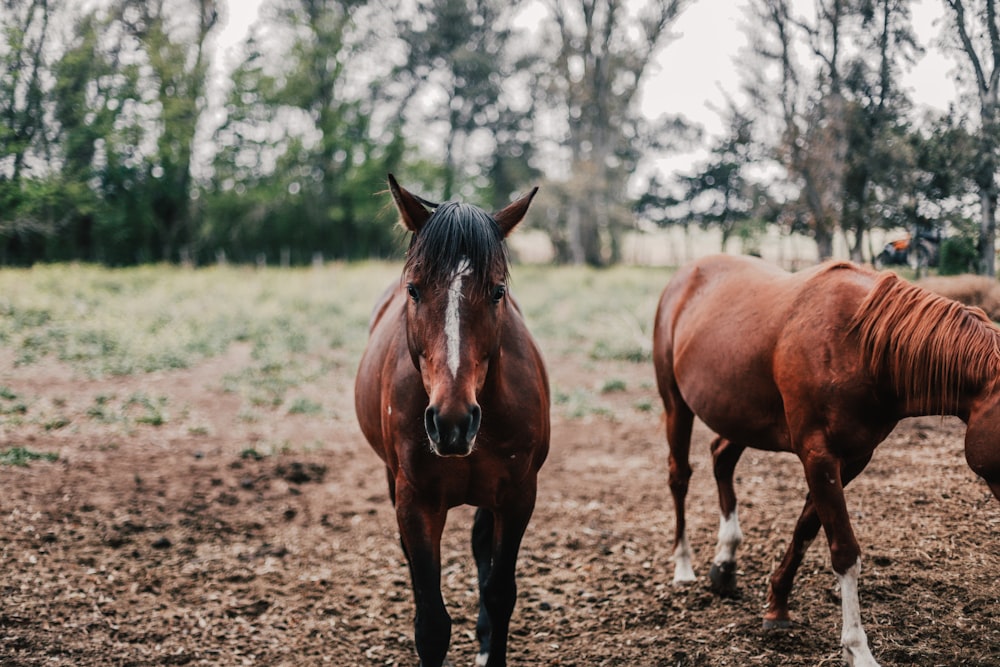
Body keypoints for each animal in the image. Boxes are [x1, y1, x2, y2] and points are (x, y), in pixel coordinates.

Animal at [356, 176, 552, 667]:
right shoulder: (416, 501)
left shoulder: (518, 496)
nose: (452, 422)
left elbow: (500, 593)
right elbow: (431, 623)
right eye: (414, 289)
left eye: (498, 291)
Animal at [652, 254, 1000, 667]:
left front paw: (777, 605)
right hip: (676, 403)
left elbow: (806, 529)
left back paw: (725, 562)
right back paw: (683, 565)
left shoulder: (851, 459)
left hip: (738, 414)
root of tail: (685, 275)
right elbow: (844, 551)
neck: (861, 346)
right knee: (679, 477)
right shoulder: (818, 455)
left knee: (721, 459)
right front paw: (858, 649)